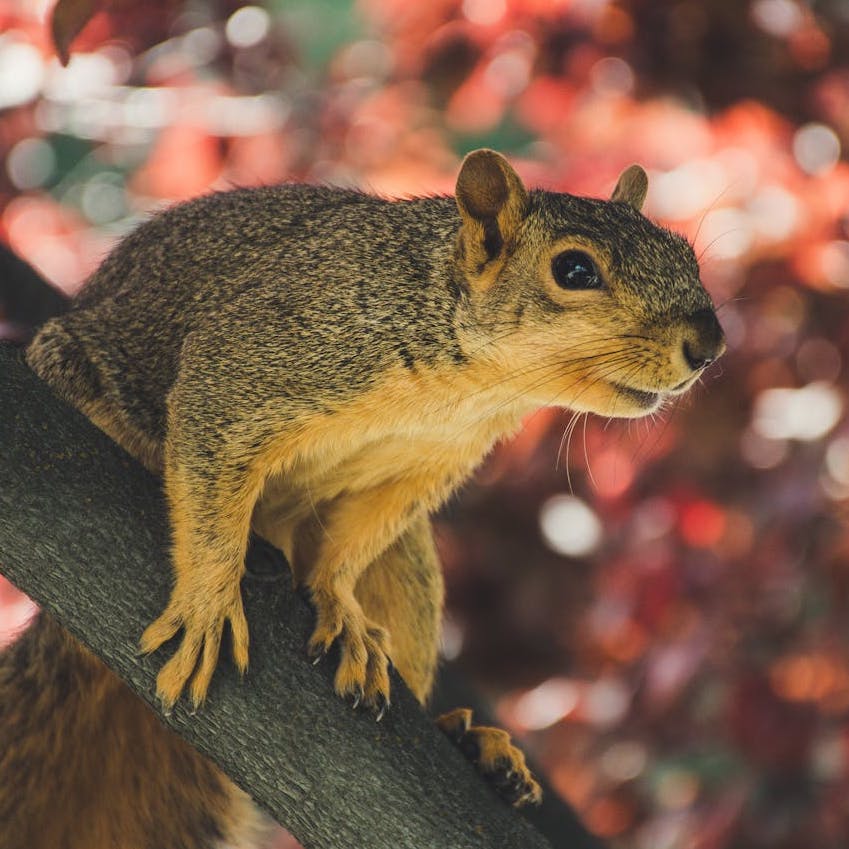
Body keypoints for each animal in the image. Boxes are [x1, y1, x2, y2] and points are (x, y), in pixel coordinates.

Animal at [3, 149, 724, 844]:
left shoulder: (420, 468)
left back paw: (472, 744)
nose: (709, 344)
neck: (473, 389)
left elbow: (348, 547)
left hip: (409, 575)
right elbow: (209, 452)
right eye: (574, 269)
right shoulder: (253, 357)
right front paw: (209, 599)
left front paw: (338, 606)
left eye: (686, 255)